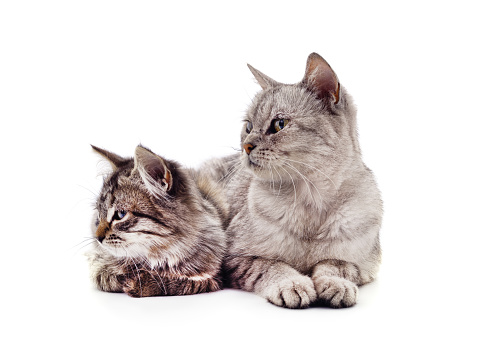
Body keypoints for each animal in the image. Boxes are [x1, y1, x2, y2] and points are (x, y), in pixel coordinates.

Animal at [88, 145, 229, 296]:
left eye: (121, 214)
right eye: (99, 215)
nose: (97, 238)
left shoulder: (214, 277)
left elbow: (180, 283)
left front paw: (140, 283)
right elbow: (103, 275)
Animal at [221, 52, 382, 310]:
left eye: (279, 124)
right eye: (248, 126)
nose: (246, 146)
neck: (311, 200)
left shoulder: (363, 264)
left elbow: (335, 266)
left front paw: (336, 285)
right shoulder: (236, 257)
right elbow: (271, 266)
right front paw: (292, 285)